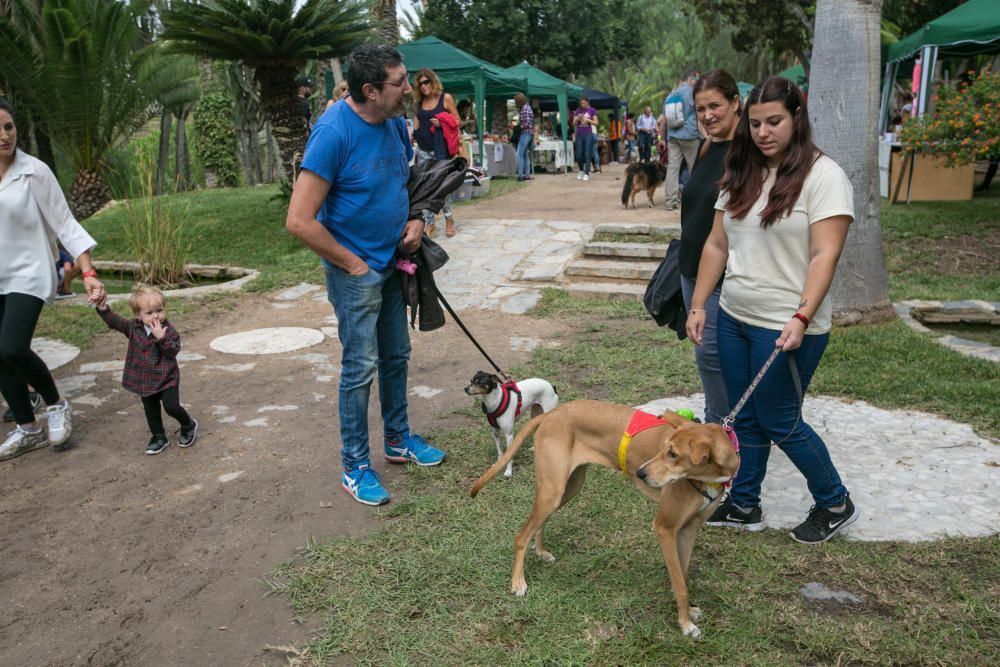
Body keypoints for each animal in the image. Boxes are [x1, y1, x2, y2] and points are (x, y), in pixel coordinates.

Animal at [466, 400, 736, 640]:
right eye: (665, 449)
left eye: (673, 454)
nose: (640, 473)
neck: (706, 478)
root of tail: (552, 413)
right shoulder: (665, 528)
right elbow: (680, 585)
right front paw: (685, 624)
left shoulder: (689, 529)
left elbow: (683, 574)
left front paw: (688, 612)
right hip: (553, 490)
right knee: (522, 534)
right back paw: (518, 582)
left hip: (566, 489)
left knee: (538, 524)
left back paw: (540, 552)